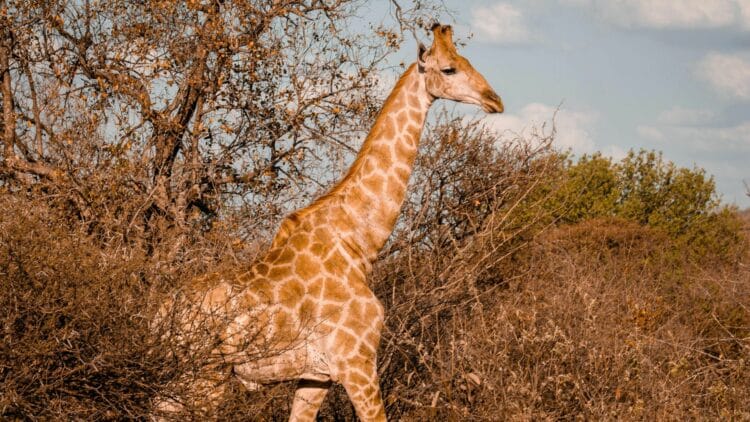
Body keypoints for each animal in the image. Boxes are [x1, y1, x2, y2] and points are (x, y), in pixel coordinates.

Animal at [153, 23, 503, 421]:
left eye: (467, 61)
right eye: (449, 69)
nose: (495, 100)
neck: (359, 241)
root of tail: (157, 319)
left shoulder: (316, 375)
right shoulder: (357, 363)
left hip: (176, 382)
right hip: (203, 378)